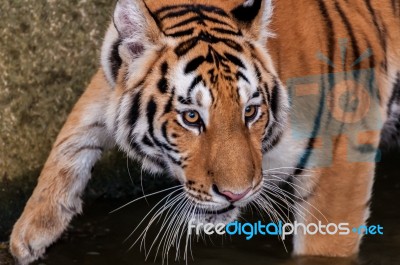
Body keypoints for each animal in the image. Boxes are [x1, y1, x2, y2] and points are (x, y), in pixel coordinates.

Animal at [9, 0, 400, 262]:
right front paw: (31, 229)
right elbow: (76, 128)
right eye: (192, 118)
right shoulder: (110, 74)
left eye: (250, 111)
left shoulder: (343, 149)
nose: (236, 195)